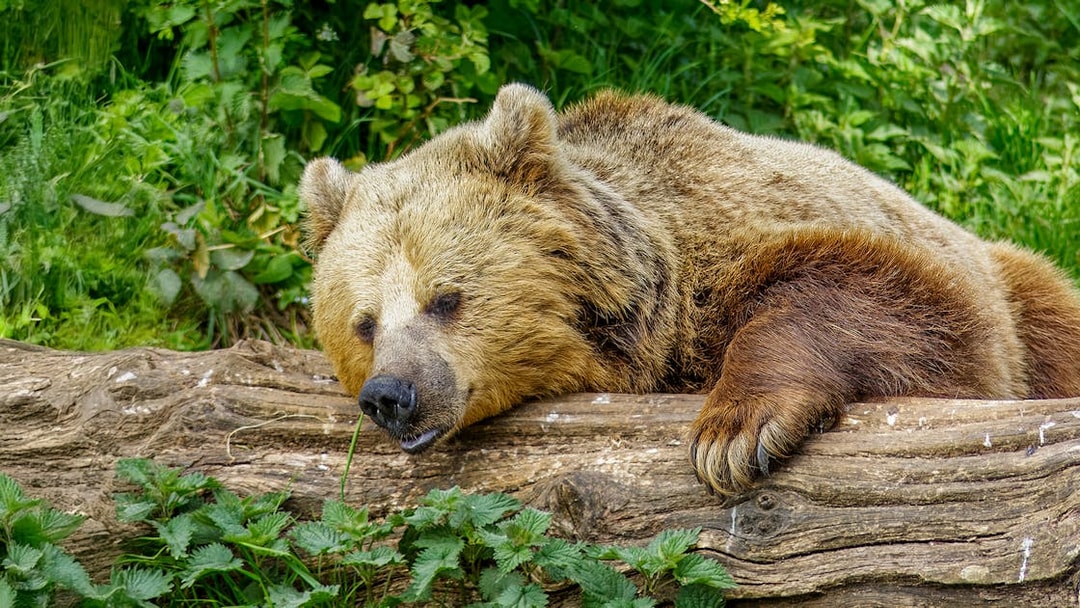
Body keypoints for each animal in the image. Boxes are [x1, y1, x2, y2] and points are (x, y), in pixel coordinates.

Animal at [299, 83, 1080, 498]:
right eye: (365, 322)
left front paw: (734, 432)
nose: (392, 395)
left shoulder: (735, 237)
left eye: (446, 298)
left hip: (1017, 287)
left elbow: (898, 310)